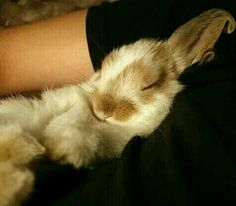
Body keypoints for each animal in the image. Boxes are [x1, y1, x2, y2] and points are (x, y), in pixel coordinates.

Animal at [0, 8, 234, 206]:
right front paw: (43, 147)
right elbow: (71, 115)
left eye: (148, 85)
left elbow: (82, 136)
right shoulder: (72, 101)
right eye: (101, 72)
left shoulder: (112, 141)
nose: (103, 110)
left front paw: (60, 150)